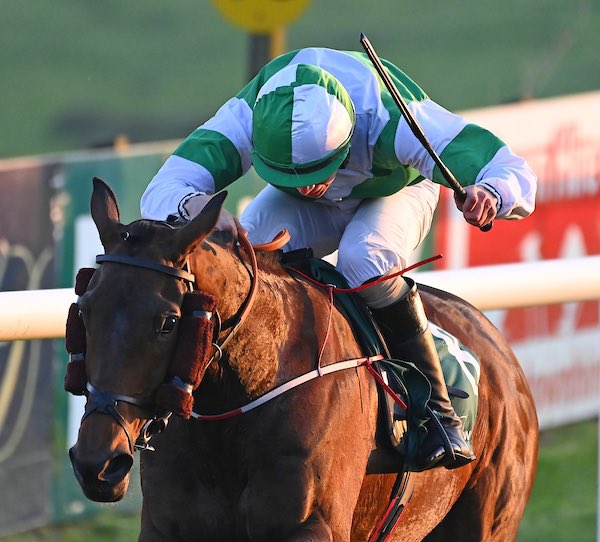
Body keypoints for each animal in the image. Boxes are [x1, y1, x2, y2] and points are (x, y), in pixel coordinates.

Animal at [68, 181, 536, 540]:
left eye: (167, 323)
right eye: (85, 311)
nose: (98, 464)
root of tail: (495, 343)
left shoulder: (311, 526)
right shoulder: (168, 526)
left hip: (487, 521)